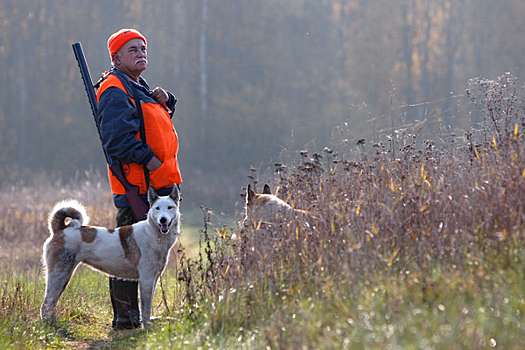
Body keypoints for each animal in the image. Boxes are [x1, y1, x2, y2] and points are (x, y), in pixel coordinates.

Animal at [40, 186, 180, 328]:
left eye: (170, 207)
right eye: (157, 208)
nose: (163, 219)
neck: (154, 234)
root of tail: (61, 229)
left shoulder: (153, 280)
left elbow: (148, 306)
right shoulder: (146, 280)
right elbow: (145, 310)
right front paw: (146, 328)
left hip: (63, 277)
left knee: (52, 303)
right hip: (60, 274)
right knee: (46, 304)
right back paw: (49, 325)